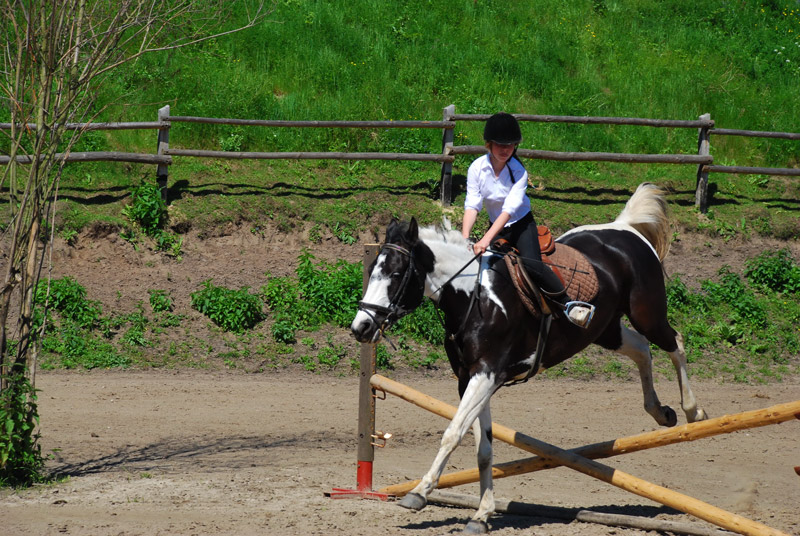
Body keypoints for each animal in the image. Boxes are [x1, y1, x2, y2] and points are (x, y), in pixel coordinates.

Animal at [350, 182, 708, 532]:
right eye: (372, 270)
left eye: (397, 274)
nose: (361, 327)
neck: (474, 297)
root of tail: (624, 228)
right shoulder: (471, 379)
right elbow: (483, 448)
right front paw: (481, 515)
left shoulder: (486, 374)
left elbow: (453, 433)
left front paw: (419, 493)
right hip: (605, 331)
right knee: (642, 349)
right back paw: (660, 412)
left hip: (647, 313)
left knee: (675, 344)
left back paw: (694, 411)